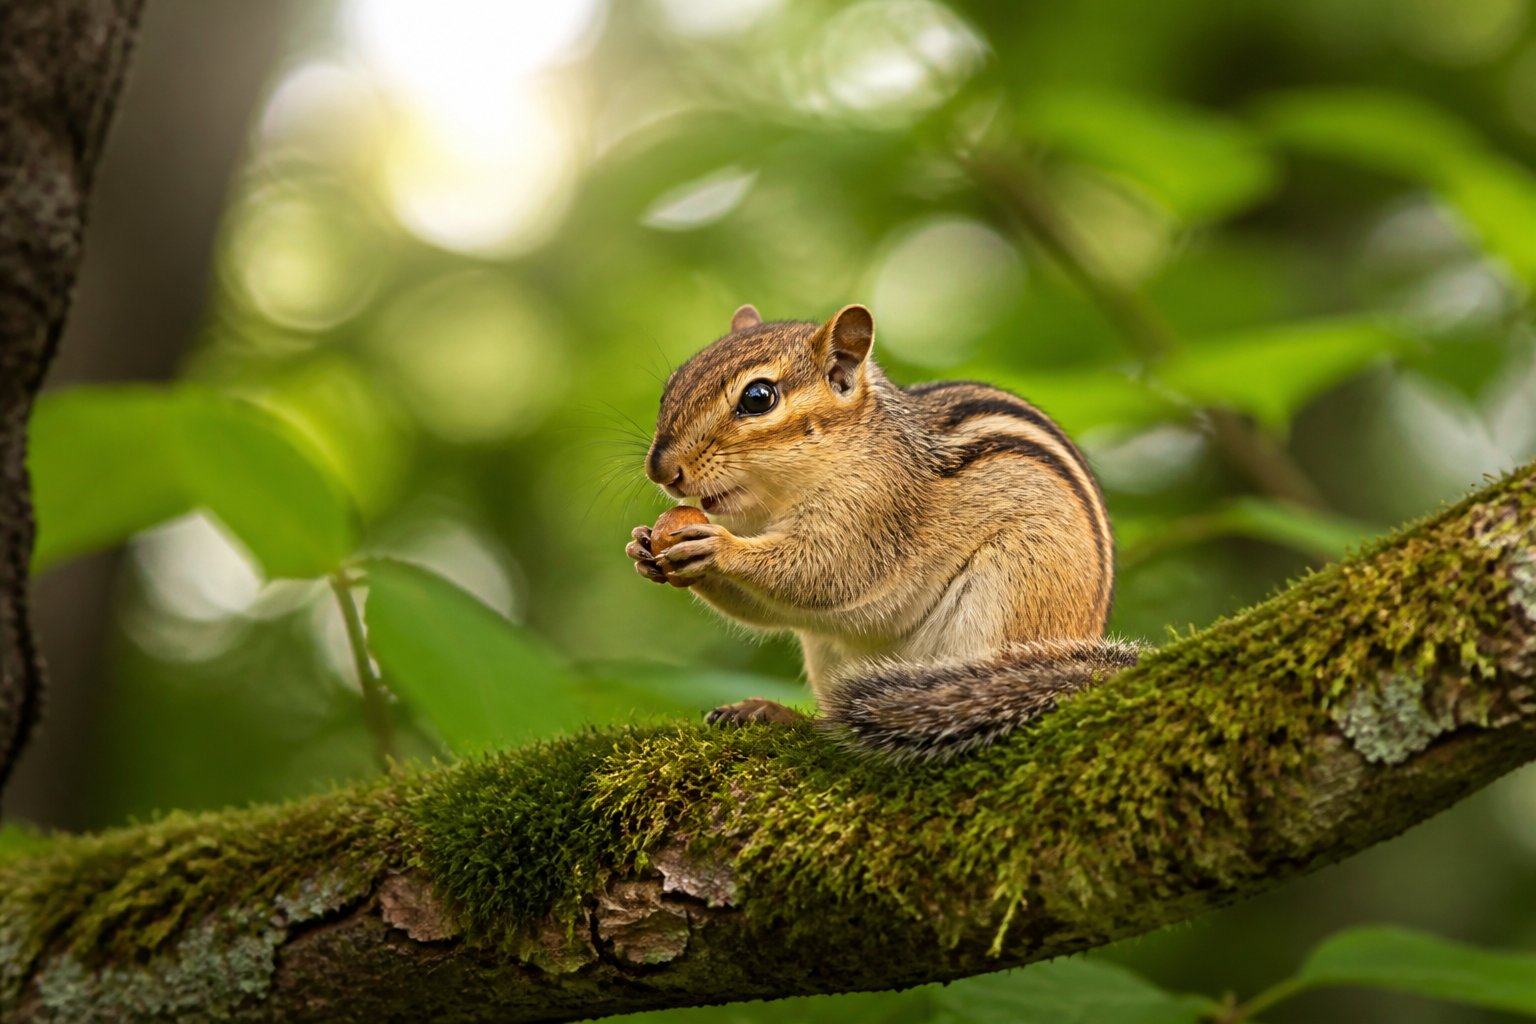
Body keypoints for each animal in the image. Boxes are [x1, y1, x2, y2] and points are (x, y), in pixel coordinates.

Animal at [624, 303, 1139, 760]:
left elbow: (825, 572)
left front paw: (716, 547)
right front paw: (643, 547)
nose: (660, 470)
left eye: (758, 397)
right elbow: (768, 609)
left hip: (1013, 592)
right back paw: (774, 713)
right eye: (673, 386)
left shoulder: (875, 509)